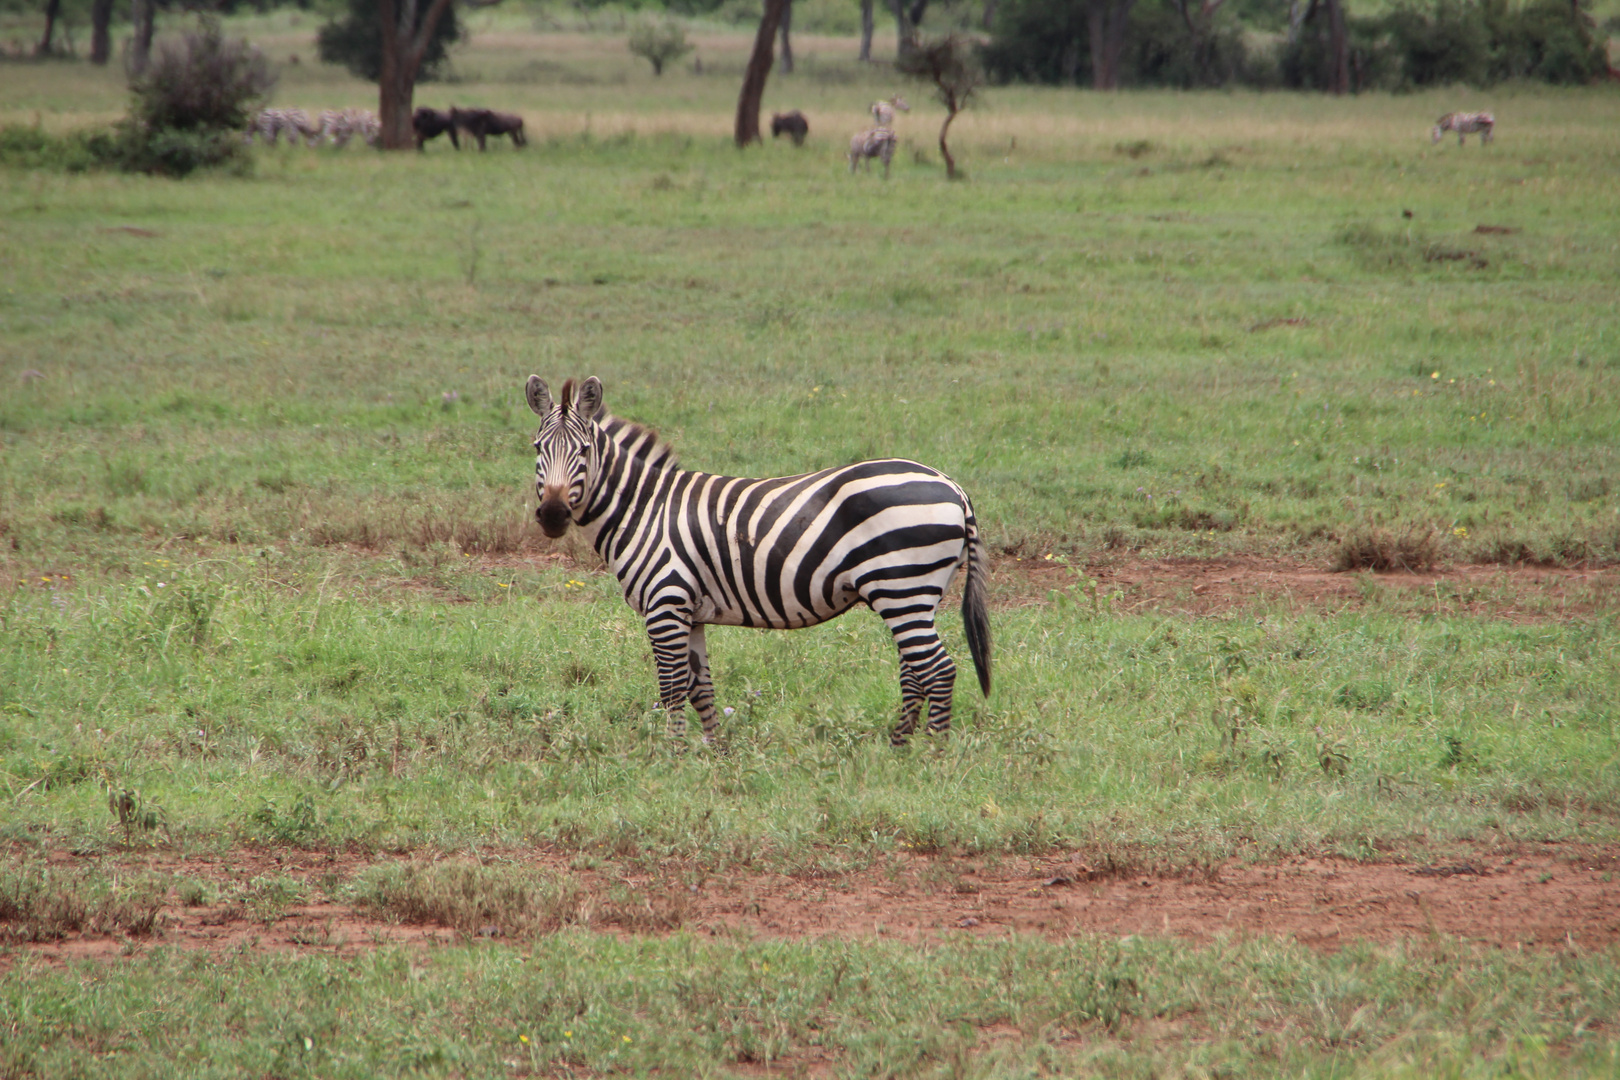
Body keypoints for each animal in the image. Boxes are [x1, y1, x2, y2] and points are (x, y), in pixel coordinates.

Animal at [524, 375, 991, 748]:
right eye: (536, 448)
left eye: (584, 450)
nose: (553, 514)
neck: (643, 509)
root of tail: (952, 486)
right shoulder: (691, 611)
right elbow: (700, 688)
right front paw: (715, 752)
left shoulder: (665, 605)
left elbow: (672, 688)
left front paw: (671, 755)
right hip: (912, 593)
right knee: (915, 671)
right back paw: (898, 747)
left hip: (901, 587)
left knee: (938, 670)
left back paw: (932, 755)